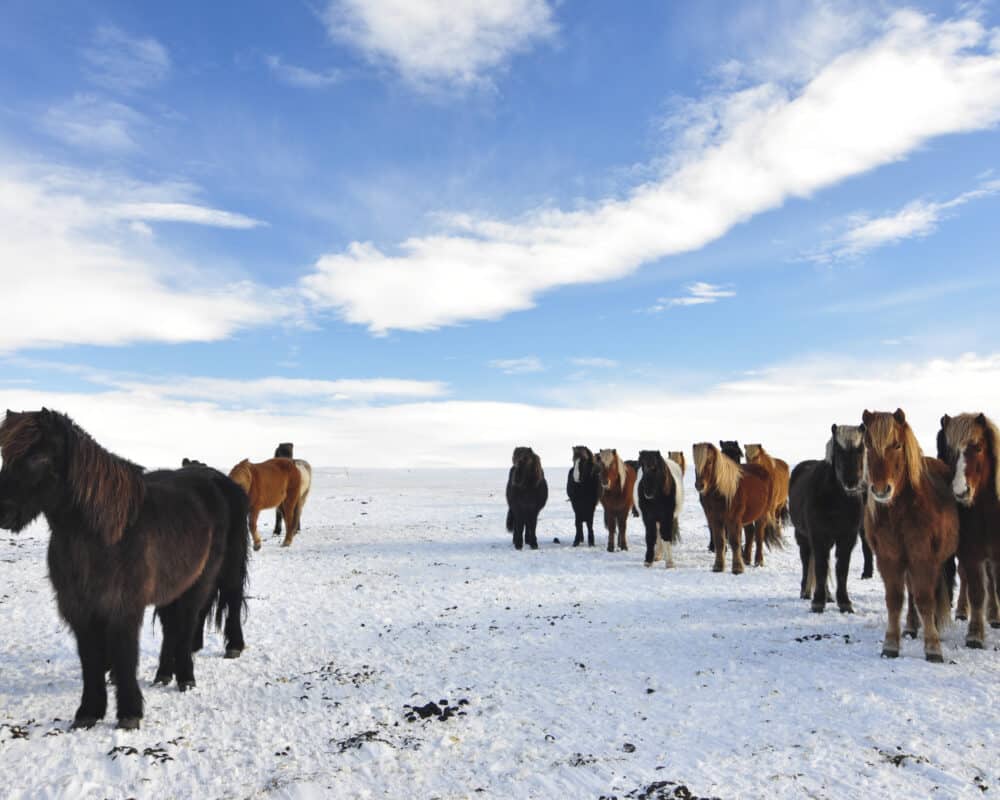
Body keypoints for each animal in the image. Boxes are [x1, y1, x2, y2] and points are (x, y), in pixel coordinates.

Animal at [0, 412, 249, 732]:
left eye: (38, 457)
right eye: (5, 455)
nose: (2, 512)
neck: (104, 534)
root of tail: (217, 480)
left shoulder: (123, 606)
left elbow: (125, 654)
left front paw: (129, 713)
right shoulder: (80, 609)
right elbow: (90, 660)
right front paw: (88, 712)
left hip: (212, 575)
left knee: (211, 611)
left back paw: (198, 669)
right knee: (174, 626)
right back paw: (164, 673)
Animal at [696, 444, 772, 576]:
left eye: (709, 462)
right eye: (695, 462)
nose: (700, 485)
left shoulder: (733, 519)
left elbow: (735, 541)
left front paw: (737, 568)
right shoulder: (715, 519)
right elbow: (720, 541)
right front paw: (718, 566)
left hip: (761, 514)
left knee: (759, 536)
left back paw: (758, 561)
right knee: (750, 532)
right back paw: (746, 559)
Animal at [788, 424, 868, 612]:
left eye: (860, 449)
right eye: (839, 450)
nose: (851, 482)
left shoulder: (847, 538)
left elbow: (841, 569)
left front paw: (844, 602)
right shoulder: (819, 536)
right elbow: (821, 567)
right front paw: (818, 602)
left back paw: (829, 596)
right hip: (803, 536)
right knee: (807, 560)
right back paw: (806, 592)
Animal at [860, 410, 960, 660]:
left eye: (896, 445)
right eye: (868, 445)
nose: (880, 490)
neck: (901, 513)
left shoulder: (923, 557)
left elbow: (926, 599)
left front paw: (933, 647)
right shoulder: (889, 558)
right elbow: (895, 600)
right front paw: (891, 644)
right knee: (912, 593)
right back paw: (911, 627)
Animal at [936, 412, 1000, 648]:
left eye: (979, 447)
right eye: (949, 450)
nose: (960, 491)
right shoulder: (970, 554)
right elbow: (976, 592)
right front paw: (975, 635)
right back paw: (964, 611)